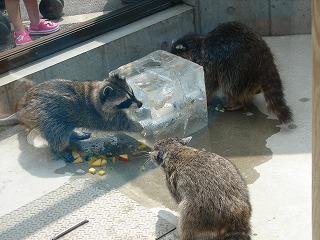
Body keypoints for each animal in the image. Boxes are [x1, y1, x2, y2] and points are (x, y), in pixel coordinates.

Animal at [0, 74, 142, 152]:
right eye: (126, 101)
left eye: (132, 93)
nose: (140, 104)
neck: (94, 92)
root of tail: (20, 108)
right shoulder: (100, 116)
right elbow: (118, 123)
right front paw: (137, 126)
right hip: (42, 115)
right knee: (56, 132)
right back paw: (60, 150)